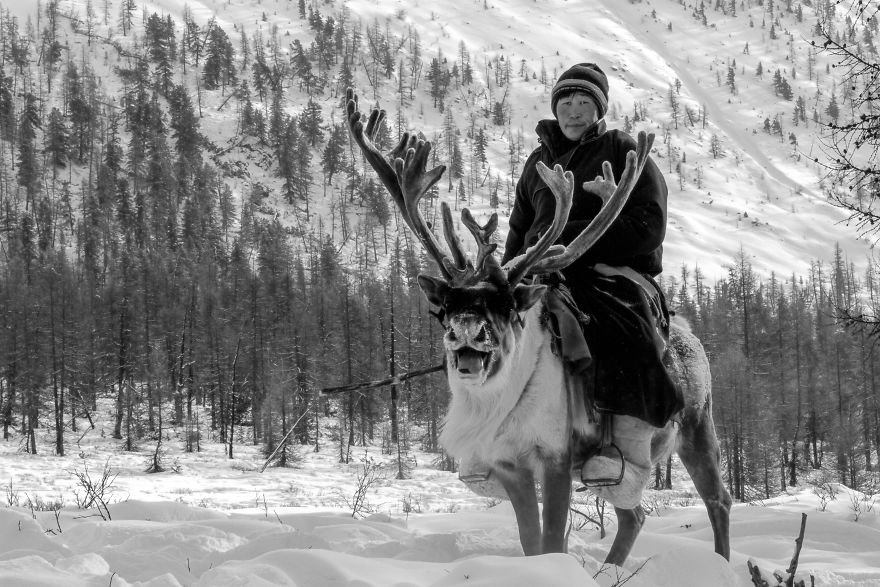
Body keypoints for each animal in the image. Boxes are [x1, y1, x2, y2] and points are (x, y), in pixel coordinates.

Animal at [345, 89, 731, 566]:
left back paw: (722, 563)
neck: (499, 400)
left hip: (697, 426)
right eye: (445, 307)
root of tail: (691, 336)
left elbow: (551, 541)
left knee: (717, 499)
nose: (466, 330)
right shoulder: (510, 464)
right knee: (634, 515)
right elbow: (532, 543)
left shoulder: (555, 456)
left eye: (506, 304)